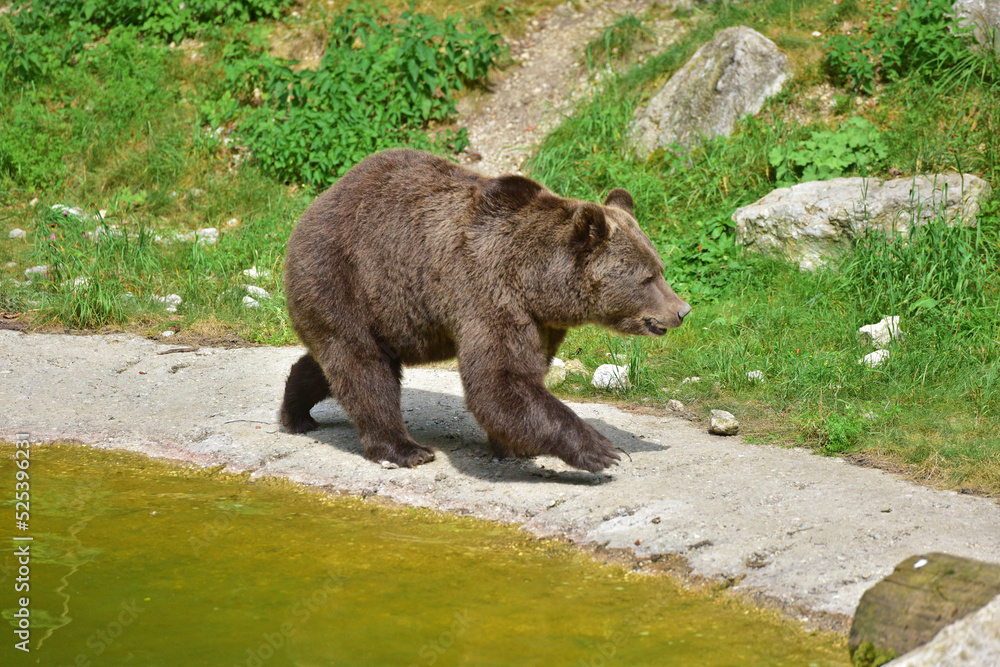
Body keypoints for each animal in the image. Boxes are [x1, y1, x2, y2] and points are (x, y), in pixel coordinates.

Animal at [280, 150, 688, 474]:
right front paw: (601, 449)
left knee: (332, 363)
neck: (536, 282)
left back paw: (296, 413)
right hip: (343, 277)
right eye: (647, 277)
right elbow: (499, 381)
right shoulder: (488, 293)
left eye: (660, 268)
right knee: (364, 367)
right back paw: (405, 449)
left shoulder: (540, 322)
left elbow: (522, 379)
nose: (682, 310)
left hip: (382, 314)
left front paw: (513, 446)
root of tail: (314, 206)